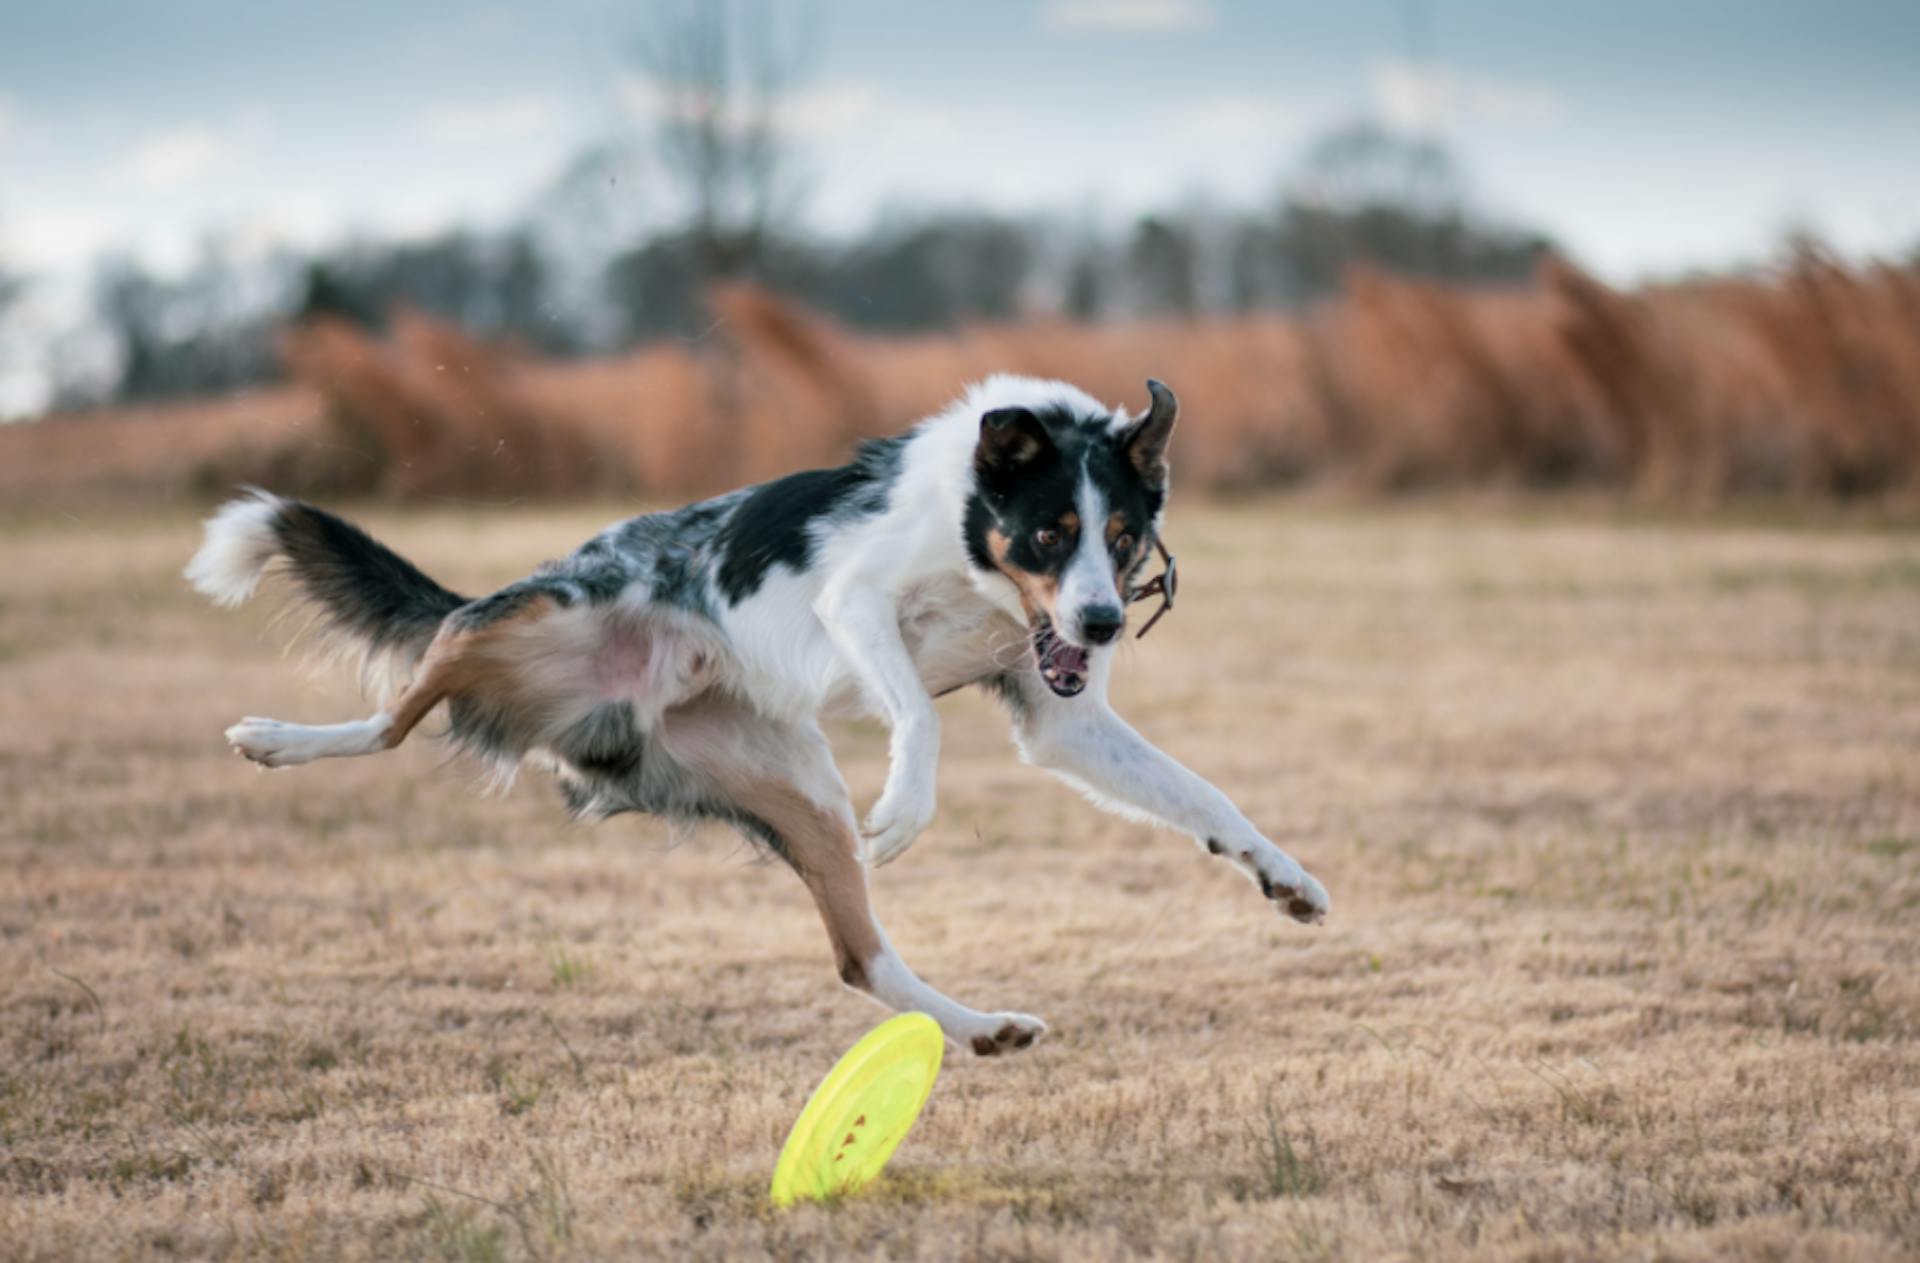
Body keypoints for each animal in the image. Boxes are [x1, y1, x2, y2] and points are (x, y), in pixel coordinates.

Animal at [187, 374, 1328, 1051]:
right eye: (1049, 532)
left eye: (1123, 536)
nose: (1099, 624)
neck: (970, 538)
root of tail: (632, 699)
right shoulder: (856, 601)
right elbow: (918, 716)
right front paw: (907, 805)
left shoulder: (1064, 718)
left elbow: (1204, 796)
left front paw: (1284, 876)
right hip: (520, 616)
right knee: (395, 712)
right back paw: (277, 740)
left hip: (800, 789)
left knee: (861, 959)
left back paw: (977, 1027)